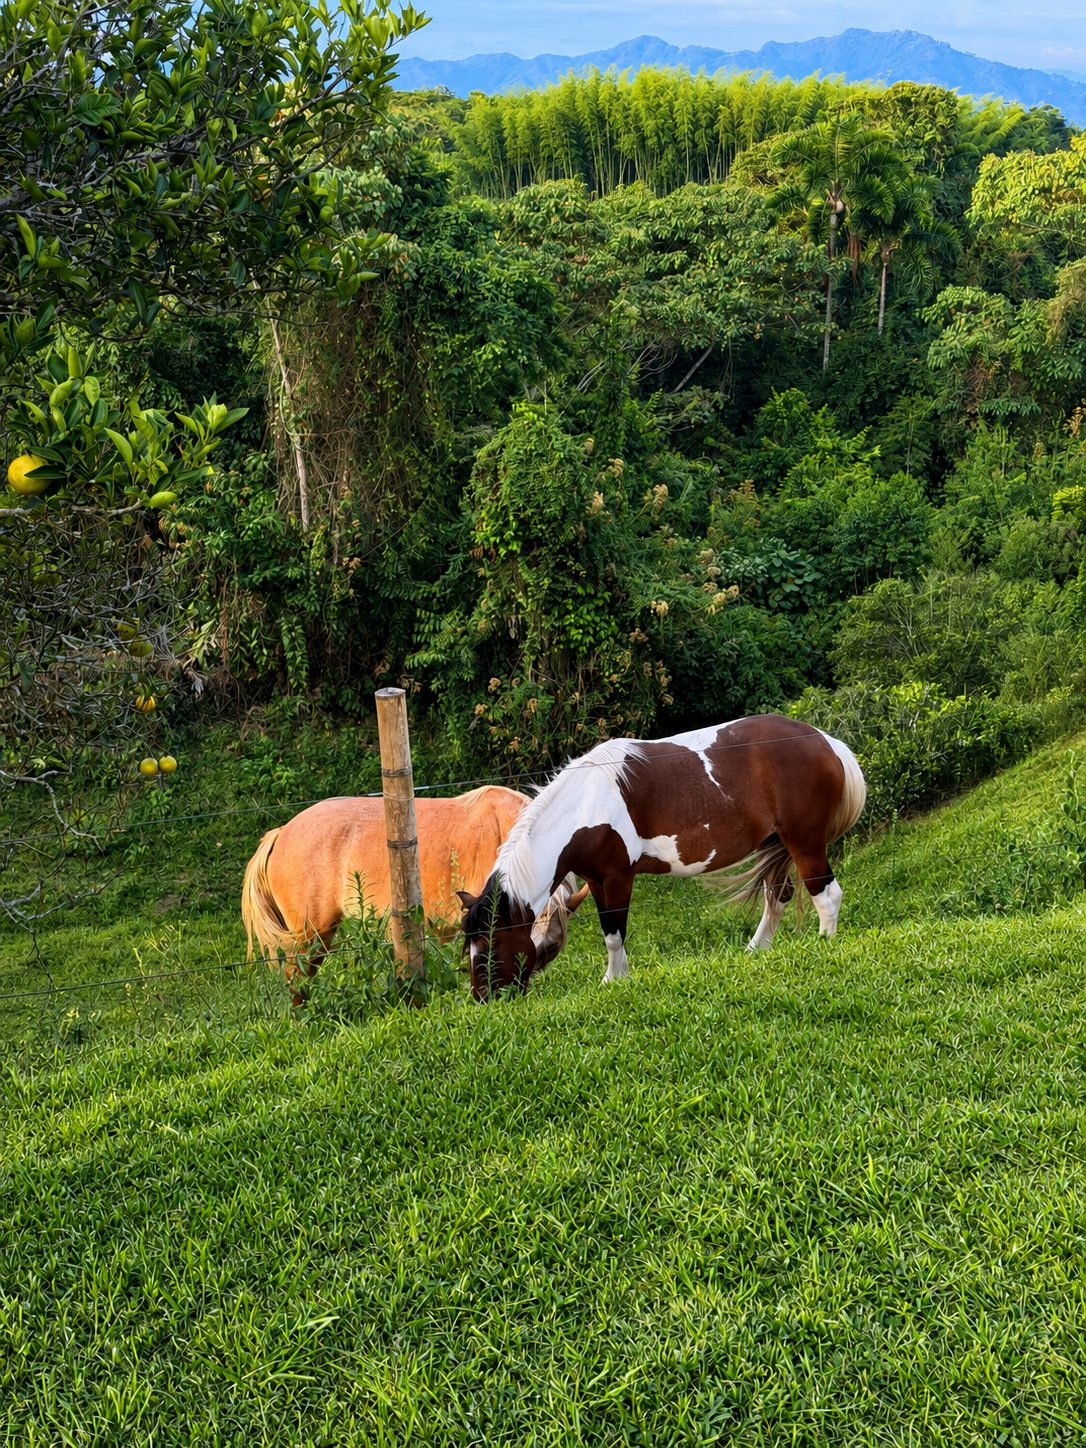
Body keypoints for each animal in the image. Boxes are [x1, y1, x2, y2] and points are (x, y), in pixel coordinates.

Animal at [458, 715, 866, 999]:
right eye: (470, 949)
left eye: (490, 949)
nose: (483, 999)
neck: (585, 804)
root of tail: (827, 742)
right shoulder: (596, 880)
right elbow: (611, 932)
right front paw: (617, 979)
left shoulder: (618, 877)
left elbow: (614, 932)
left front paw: (613, 981)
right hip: (776, 843)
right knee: (777, 897)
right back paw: (756, 950)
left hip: (804, 842)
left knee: (826, 895)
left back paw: (824, 944)